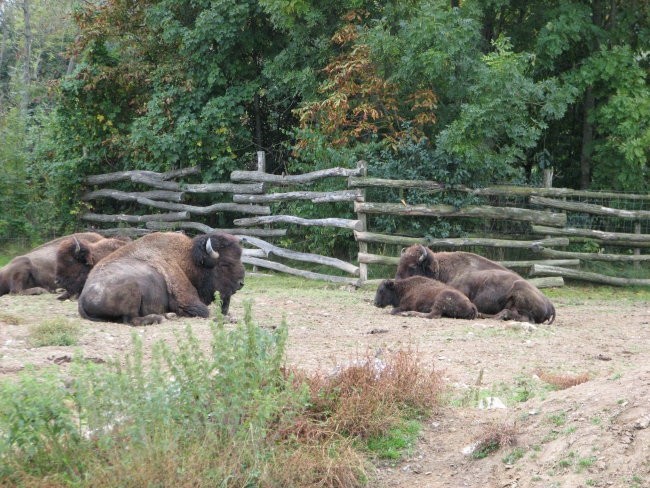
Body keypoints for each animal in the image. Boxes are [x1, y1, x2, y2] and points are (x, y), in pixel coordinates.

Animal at [77, 232, 244, 326]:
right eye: (225, 264)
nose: (241, 283)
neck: (188, 260)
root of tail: (82, 298)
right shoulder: (188, 301)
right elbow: (206, 311)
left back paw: (168, 315)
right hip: (132, 290)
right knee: (131, 319)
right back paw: (158, 318)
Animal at [392, 244, 556, 324]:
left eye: (413, 266)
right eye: (399, 264)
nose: (396, 282)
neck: (442, 269)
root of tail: (550, 304)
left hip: (519, 290)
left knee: (524, 318)